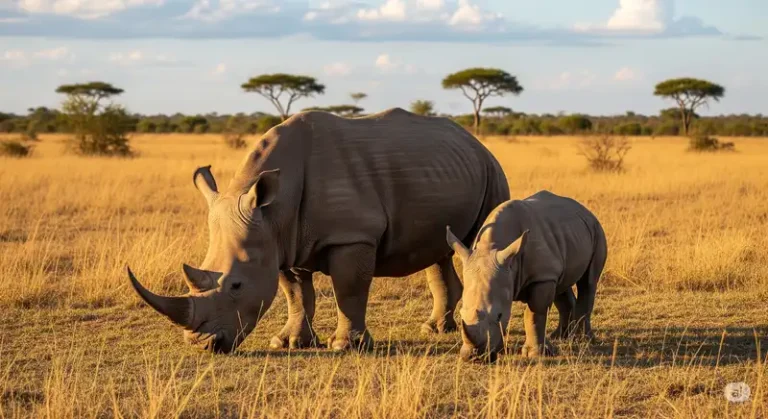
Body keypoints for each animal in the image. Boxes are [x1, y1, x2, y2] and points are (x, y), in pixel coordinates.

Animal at [128, 108, 510, 354]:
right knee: (440, 250)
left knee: (477, 242)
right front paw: (289, 343)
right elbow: (296, 294)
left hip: (492, 170)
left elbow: (349, 290)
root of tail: (474, 141)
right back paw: (434, 329)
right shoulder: (282, 239)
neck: (274, 209)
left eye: (236, 285)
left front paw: (345, 346)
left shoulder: (352, 236)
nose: (203, 345)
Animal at [445, 190, 607, 362]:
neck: (492, 246)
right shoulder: (531, 273)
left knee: (588, 282)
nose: (474, 356)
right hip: (565, 239)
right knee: (561, 285)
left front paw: (535, 353)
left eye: (499, 315)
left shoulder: (541, 277)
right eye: (461, 313)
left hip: (596, 230)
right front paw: (501, 349)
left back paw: (584, 340)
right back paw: (559, 337)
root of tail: (584, 210)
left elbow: (535, 313)